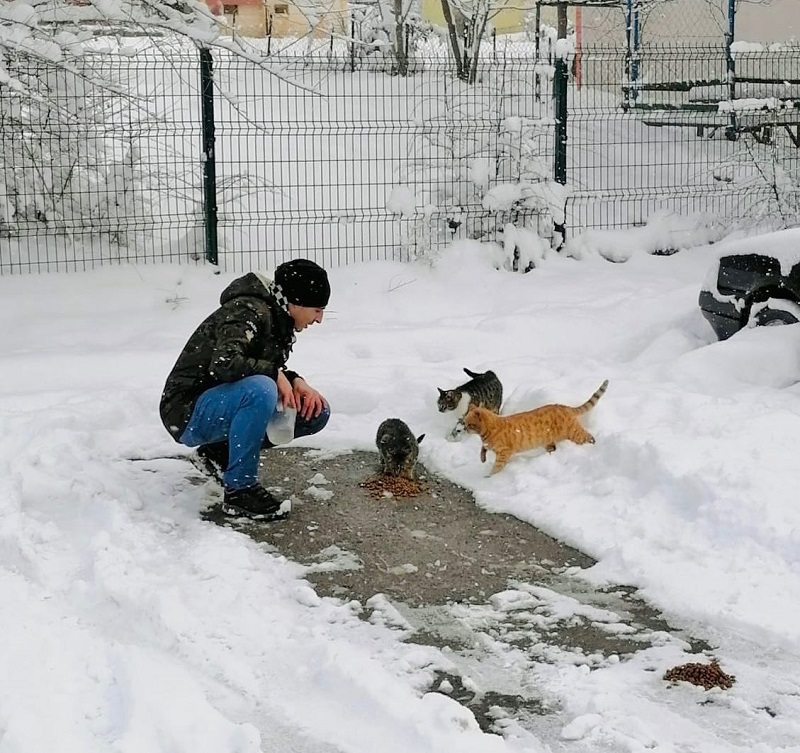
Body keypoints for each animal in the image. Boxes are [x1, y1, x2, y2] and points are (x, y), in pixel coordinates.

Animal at [460, 378, 608, 472]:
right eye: (465, 423)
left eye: (469, 424)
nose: (465, 429)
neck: (487, 432)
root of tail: (565, 407)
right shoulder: (489, 446)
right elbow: (482, 449)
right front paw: (482, 458)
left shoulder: (504, 453)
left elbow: (496, 468)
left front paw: (489, 477)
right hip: (548, 442)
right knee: (553, 448)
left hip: (574, 433)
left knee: (589, 437)